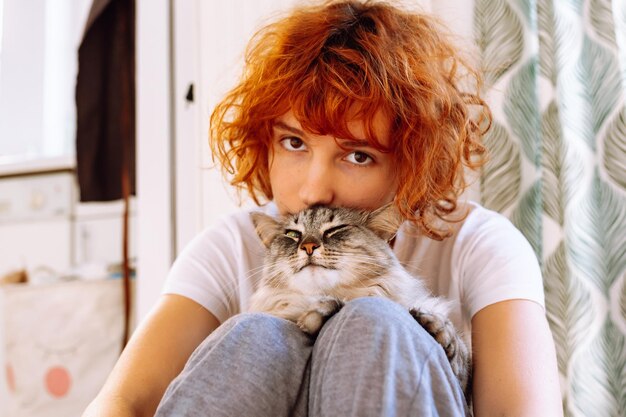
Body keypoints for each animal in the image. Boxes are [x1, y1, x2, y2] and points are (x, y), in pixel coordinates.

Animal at [247, 205, 468, 394]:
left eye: (335, 230)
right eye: (292, 235)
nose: (308, 246)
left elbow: (460, 353)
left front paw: (438, 329)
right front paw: (316, 314)